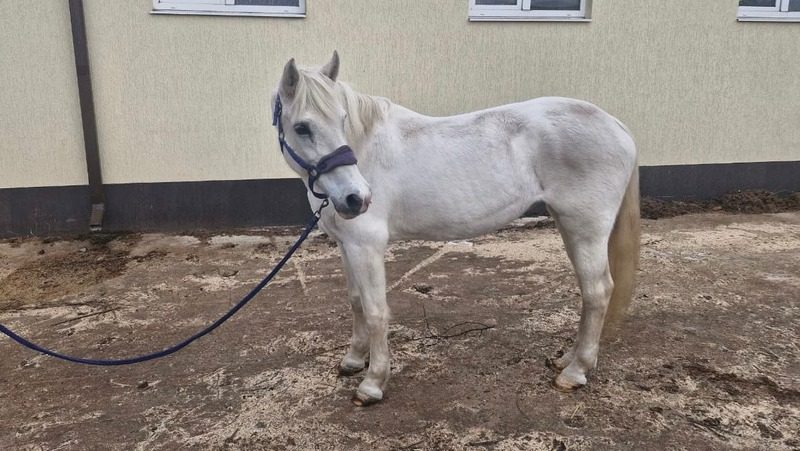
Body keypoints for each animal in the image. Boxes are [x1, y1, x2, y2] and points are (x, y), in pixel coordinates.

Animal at [272, 52, 640, 406]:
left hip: (586, 228)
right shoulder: (347, 245)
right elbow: (356, 301)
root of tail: (617, 125)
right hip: (569, 226)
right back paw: (568, 360)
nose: (356, 198)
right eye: (302, 127)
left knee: (597, 291)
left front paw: (373, 383)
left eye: (342, 120)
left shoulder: (367, 245)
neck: (366, 151)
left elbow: (376, 311)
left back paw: (575, 372)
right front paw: (352, 360)